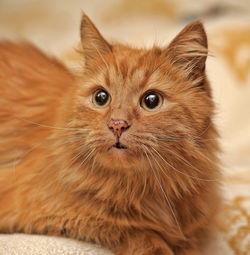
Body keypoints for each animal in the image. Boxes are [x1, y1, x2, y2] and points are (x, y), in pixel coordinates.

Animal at [0, 13, 221, 255]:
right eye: (101, 98)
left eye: (152, 101)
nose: (117, 125)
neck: (142, 191)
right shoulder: (47, 213)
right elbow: (134, 232)